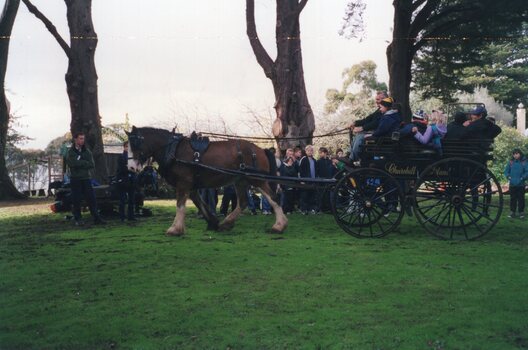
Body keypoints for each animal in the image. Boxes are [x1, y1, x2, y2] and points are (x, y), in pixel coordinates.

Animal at [125, 126, 286, 235]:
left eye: (136, 143)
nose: (131, 167)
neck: (174, 150)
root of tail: (261, 150)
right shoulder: (192, 186)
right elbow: (200, 203)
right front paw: (213, 222)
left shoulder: (183, 184)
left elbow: (180, 205)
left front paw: (175, 229)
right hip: (240, 180)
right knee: (243, 202)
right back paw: (226, 223)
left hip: (257, 179)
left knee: (273, 198)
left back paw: (279, 225)